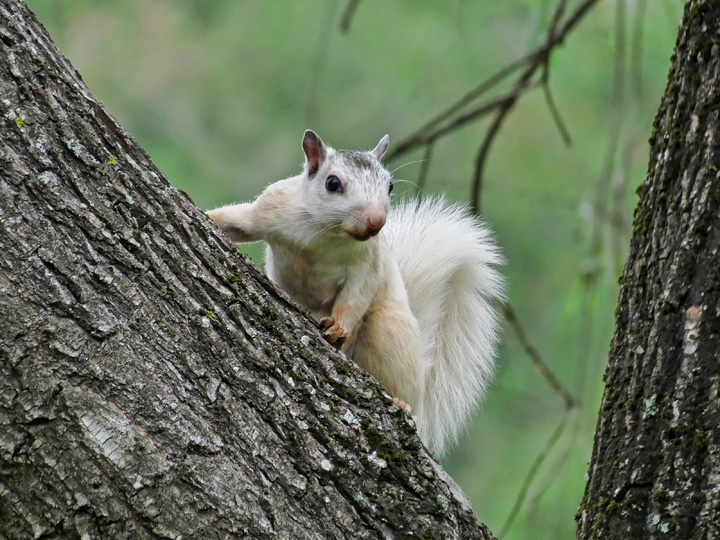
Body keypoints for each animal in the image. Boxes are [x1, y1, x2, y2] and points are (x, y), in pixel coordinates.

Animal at [205, 131, 504, 456]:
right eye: (332, 183)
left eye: (390, 186)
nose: (377, 221)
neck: (325, 235)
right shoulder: (270, 209)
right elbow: (237, 221)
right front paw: (206, 214)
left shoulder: (366, 266)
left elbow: (354, 299)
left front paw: (338, 327)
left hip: (389, 329)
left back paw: (403, 403)